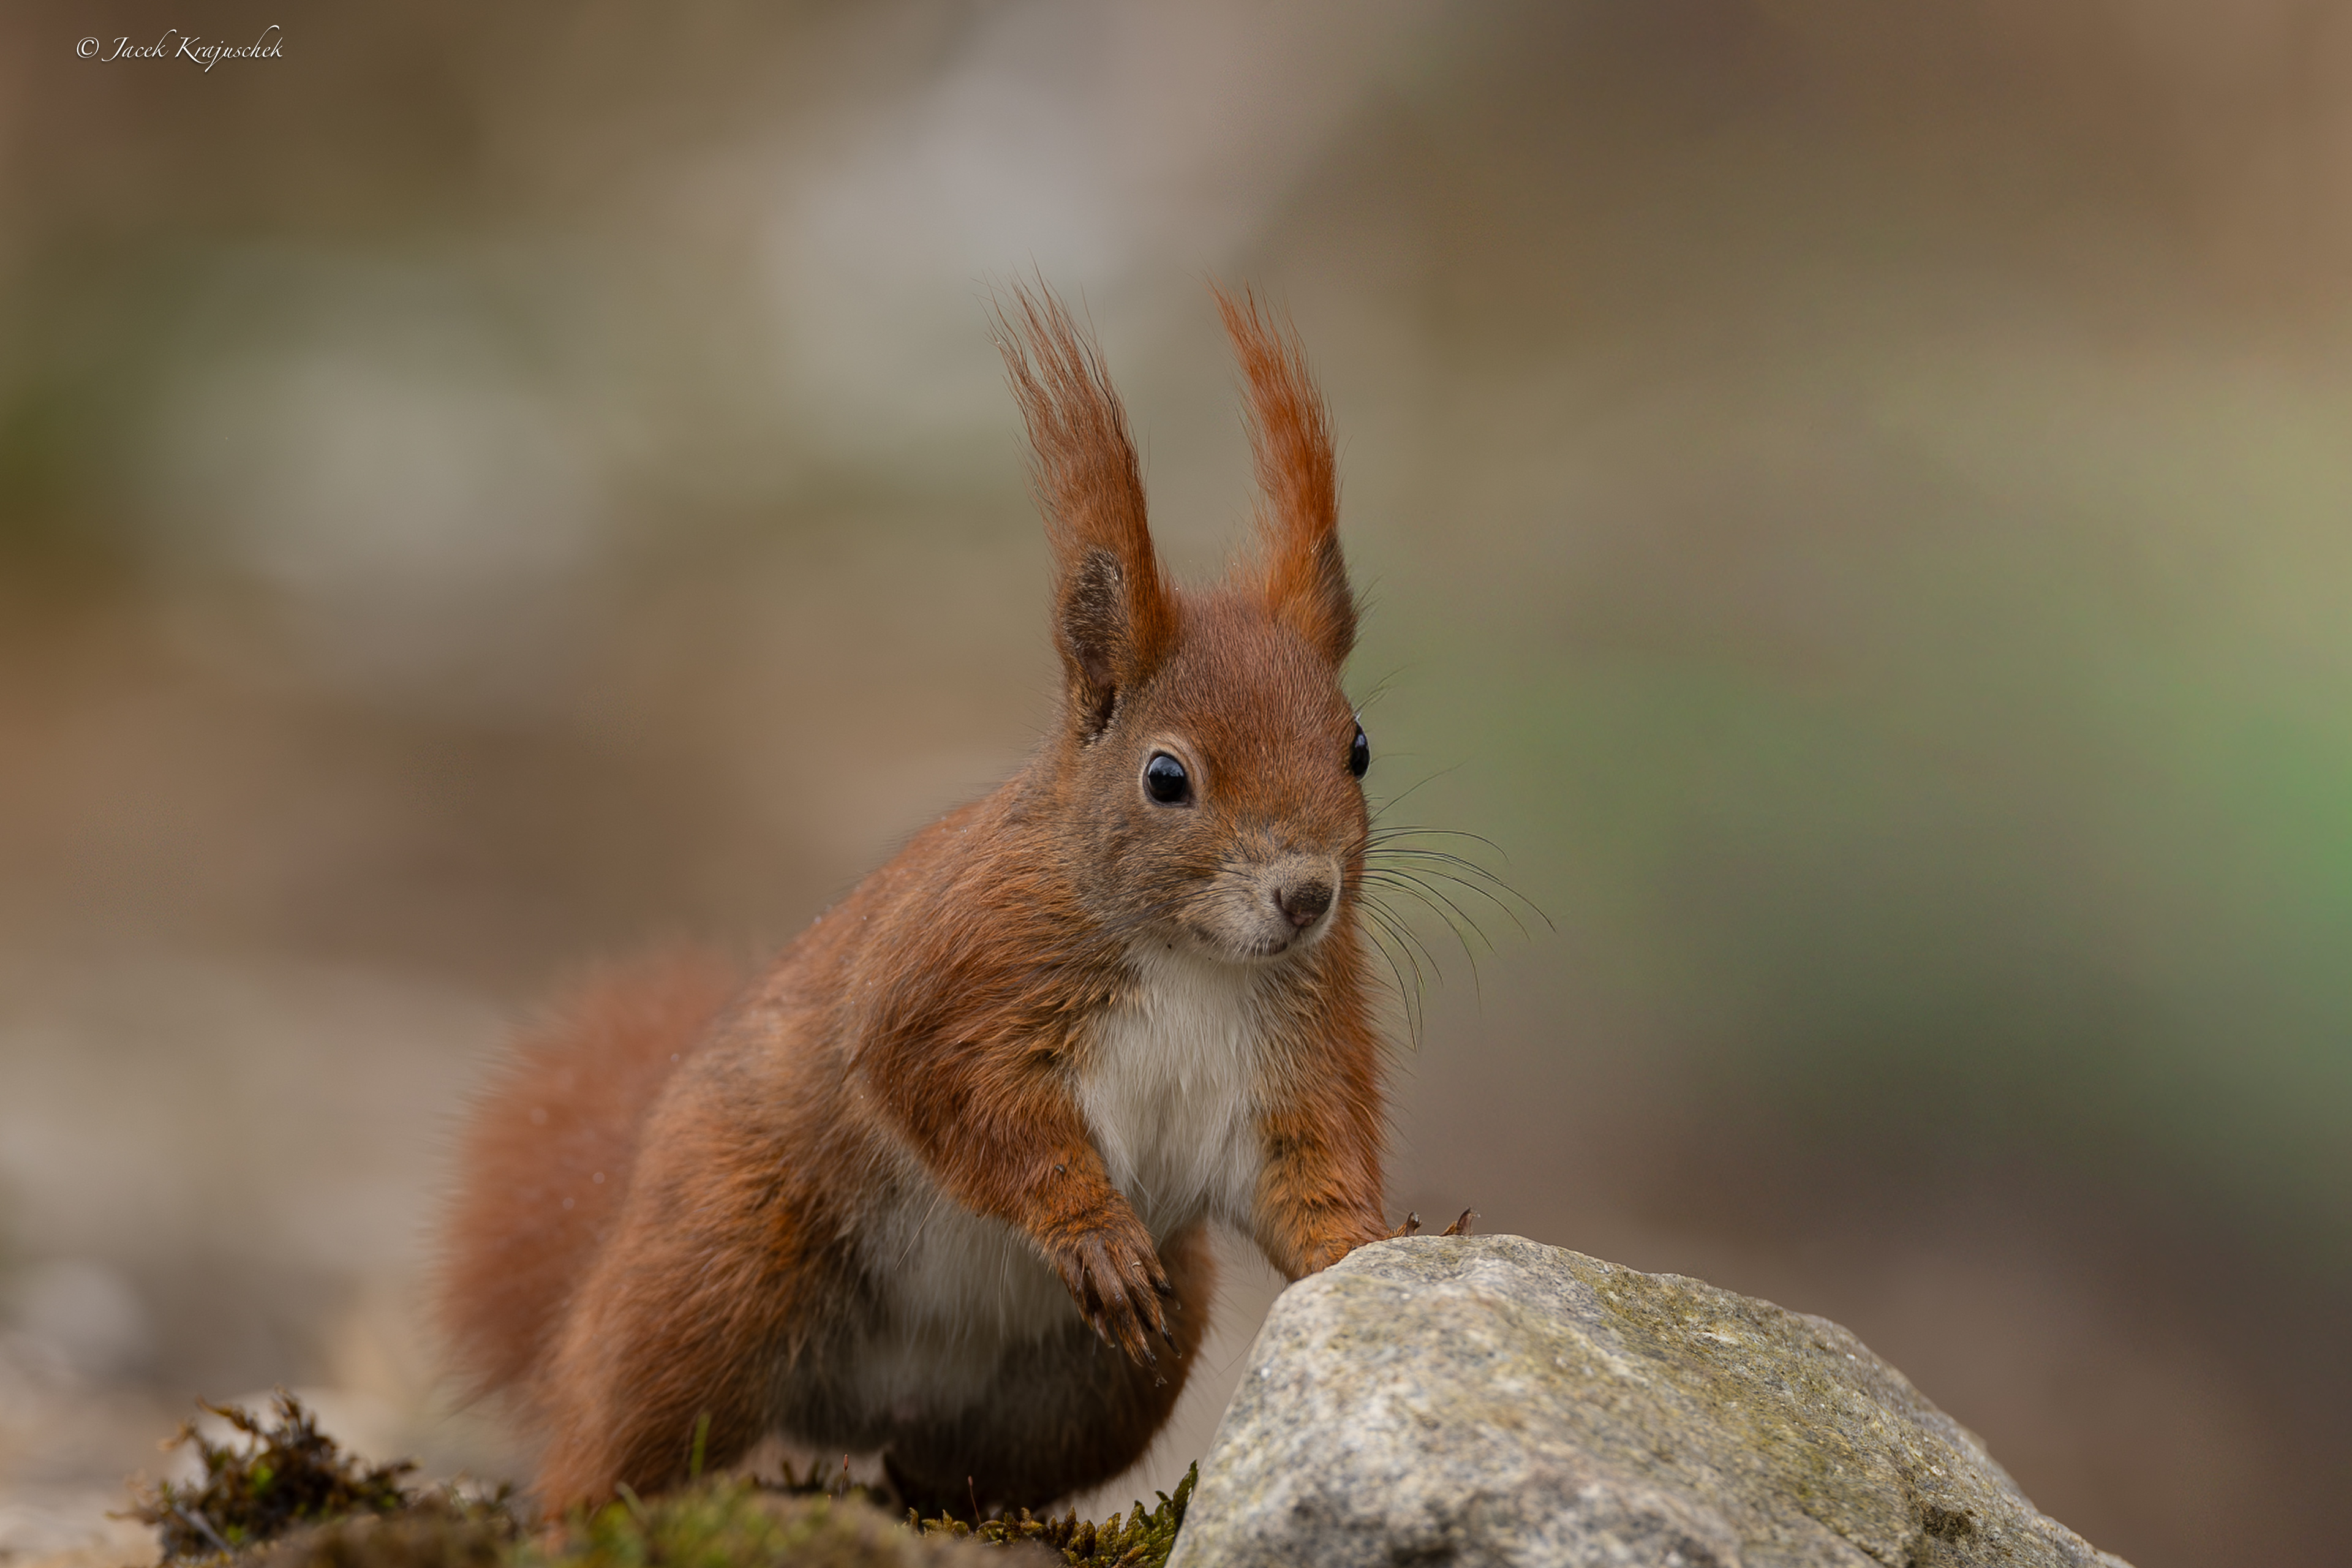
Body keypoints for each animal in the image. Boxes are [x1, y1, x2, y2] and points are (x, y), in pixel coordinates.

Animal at [438, 284, 1412, 1516]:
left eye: (1359, 749)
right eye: (1166, 777)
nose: (1306, 897)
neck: (1191, 957)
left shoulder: (1298, 1050)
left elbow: (1307, 1177)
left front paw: (1374, 1250)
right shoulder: (956, 975)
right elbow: (953, 1095)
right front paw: (1091, 1230)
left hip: (1108, 1378)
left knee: (946, 1465)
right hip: (714, 1273)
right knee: (614, 1432)